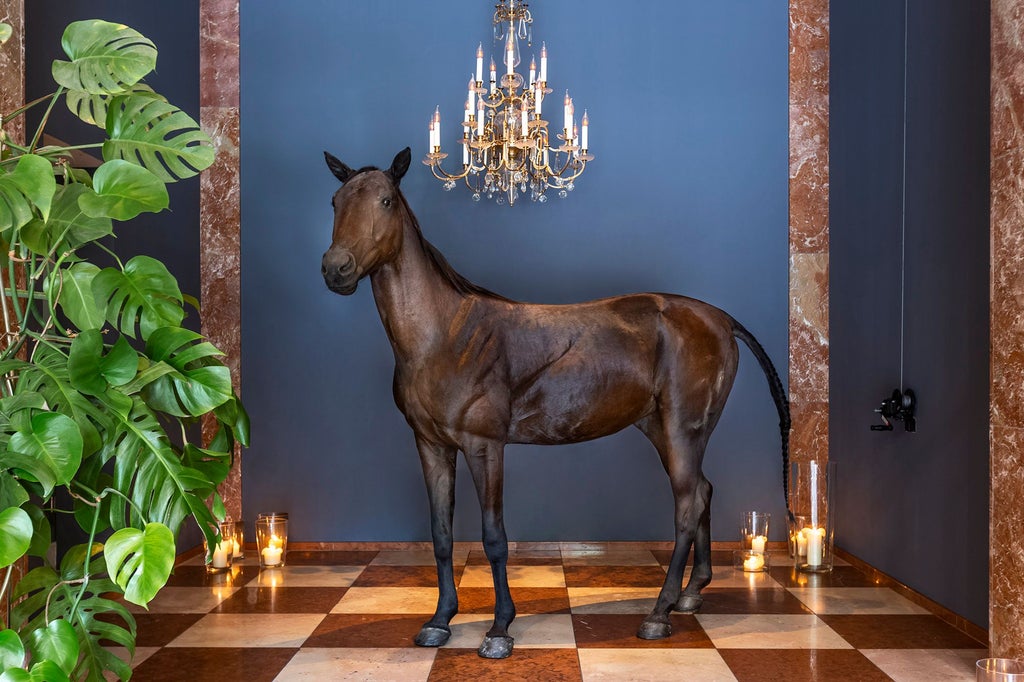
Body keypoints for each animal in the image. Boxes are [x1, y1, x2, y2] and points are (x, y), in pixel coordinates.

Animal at [323, 146, 786, 655]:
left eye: (385, 201)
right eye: (335, 202)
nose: (336, 268)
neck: (444, 335)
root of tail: (721, 319)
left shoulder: (485, 446)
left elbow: (494, 537)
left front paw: (499, 629)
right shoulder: (431, 445)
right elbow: (441, 536)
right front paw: (440, 621)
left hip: (684, 430)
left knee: (686, 507)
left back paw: (658, 614)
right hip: (664, 430)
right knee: (703, 492)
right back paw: (690, 595)